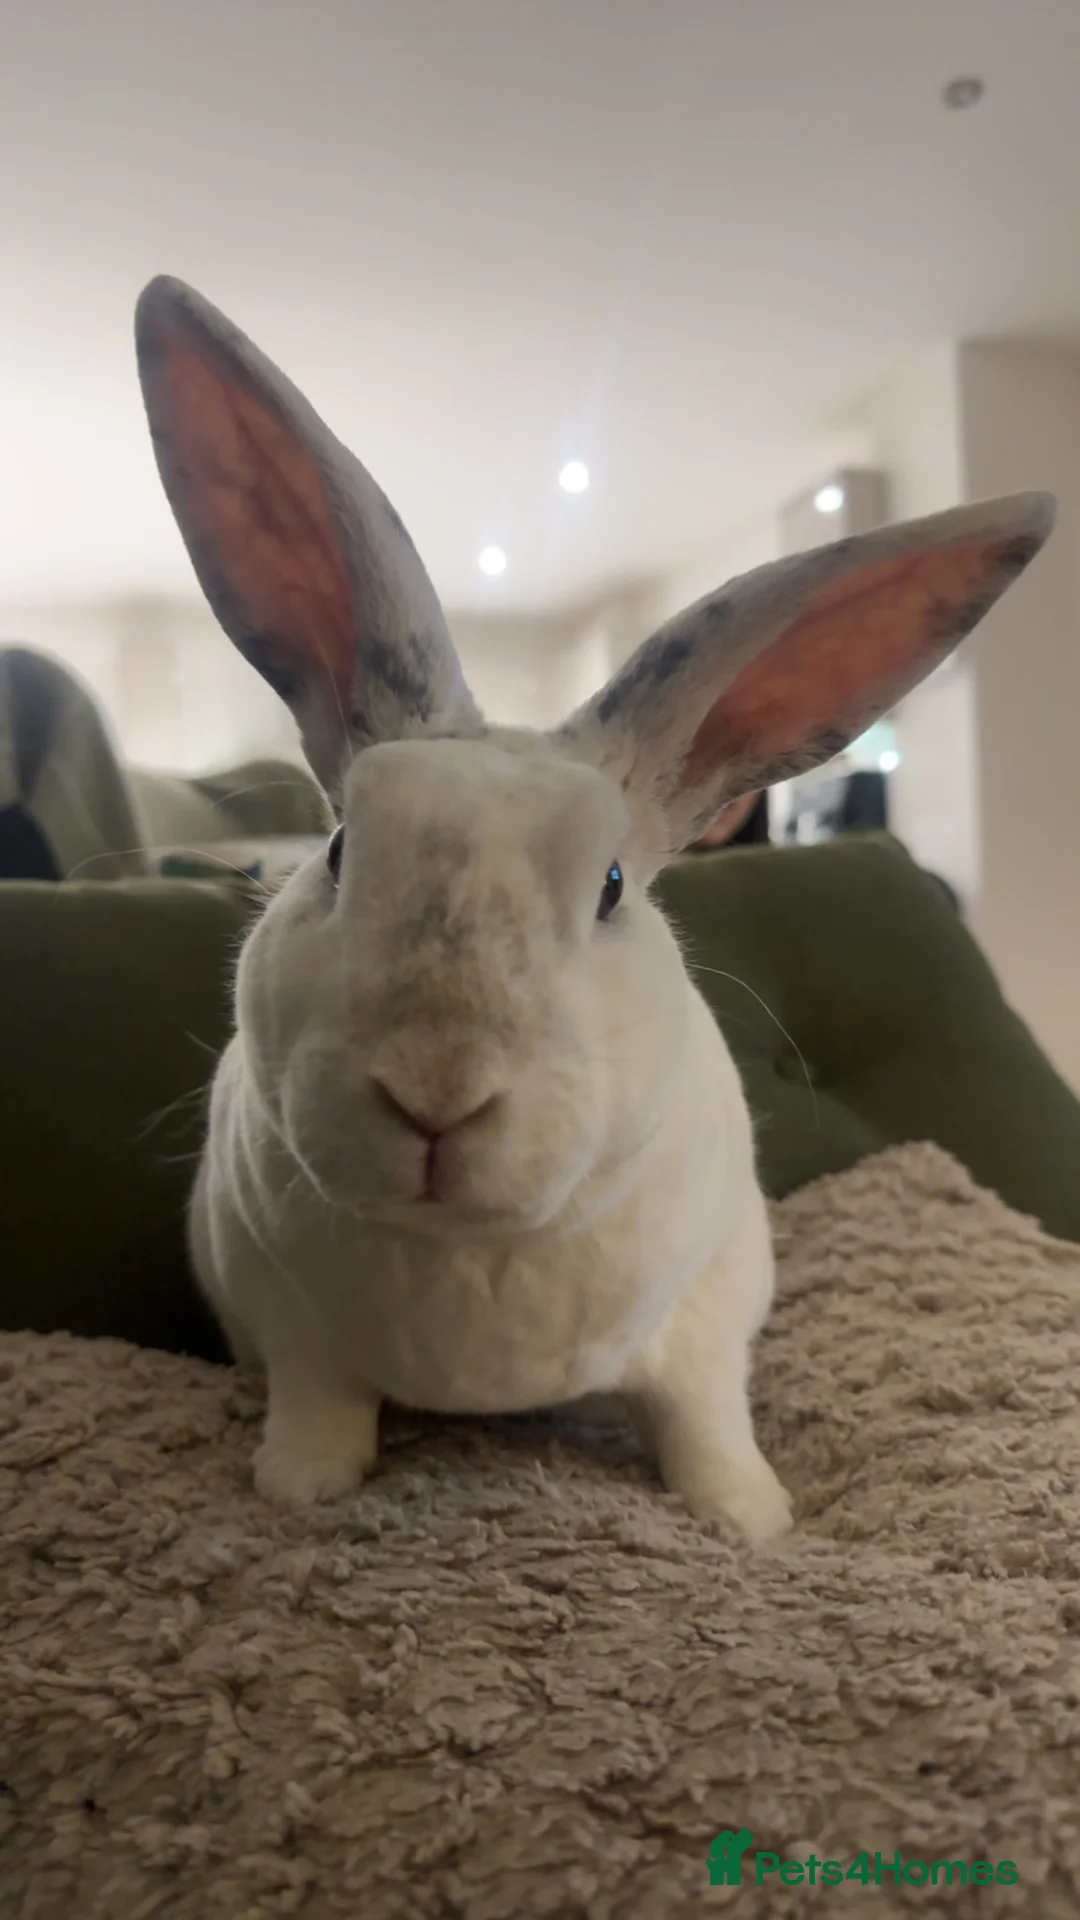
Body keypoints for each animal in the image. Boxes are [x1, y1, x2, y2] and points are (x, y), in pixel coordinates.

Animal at [135, 274, 1054, 1543]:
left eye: (613, 889)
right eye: (339, 850)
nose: (435, 1093)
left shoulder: (711, 1311)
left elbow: (708, 1416)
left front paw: (752, 1517)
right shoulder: (281, 1313)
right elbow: (319, 1401)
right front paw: (299, 1484)